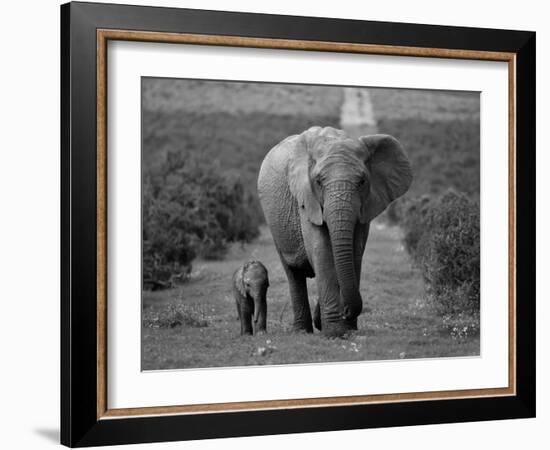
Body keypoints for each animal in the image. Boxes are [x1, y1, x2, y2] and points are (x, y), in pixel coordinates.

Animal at [258, 125, 414, 336]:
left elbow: (355, 252)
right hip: (274, 223)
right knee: (293, 273)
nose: (346, 311)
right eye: (318, 181)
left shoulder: (366, 206)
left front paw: (347, 329)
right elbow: (322, 251)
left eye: (362, 181)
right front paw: (334, 333)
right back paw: (302, 331)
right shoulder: (307, 200)